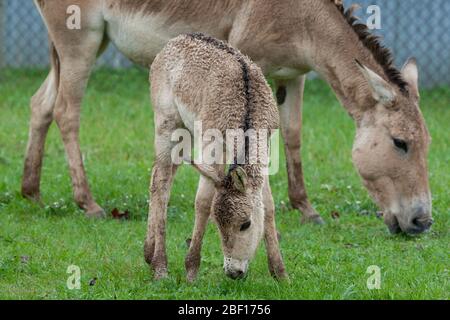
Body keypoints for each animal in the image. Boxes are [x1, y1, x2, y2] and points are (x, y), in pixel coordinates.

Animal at [145, 33, 284, 282]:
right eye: (217, 223)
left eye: (246, 224)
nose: (234, 272)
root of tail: (174, 40)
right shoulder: (211, 147)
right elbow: (203, 201)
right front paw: (191, 271)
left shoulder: (266, 149)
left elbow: (268, 206)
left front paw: (281, 274)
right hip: (166, 123)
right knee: (160, 185)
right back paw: (160, 268)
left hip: (185, 135)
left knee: (159, 177)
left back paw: (148, 255)